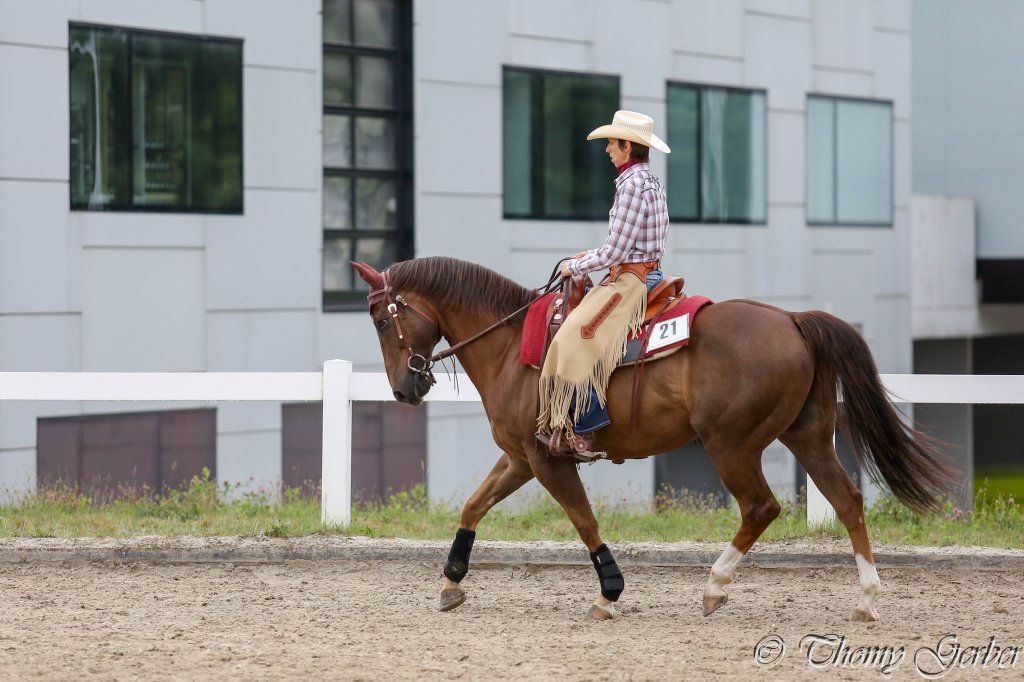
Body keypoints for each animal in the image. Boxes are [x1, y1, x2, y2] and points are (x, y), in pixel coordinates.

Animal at [351, 256, 954, 622]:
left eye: (381, 320)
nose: (404, 388)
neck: (511, 344)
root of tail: (793, 320)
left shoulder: (548, 460)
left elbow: (583, 520)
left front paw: (609, 592)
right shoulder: (521, 457)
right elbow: (474, 506)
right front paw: (451, 581)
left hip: (731, 445)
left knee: (760, 507)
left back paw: (715, 586)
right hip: (807, 437)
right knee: (847, 500)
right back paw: (868, 599)